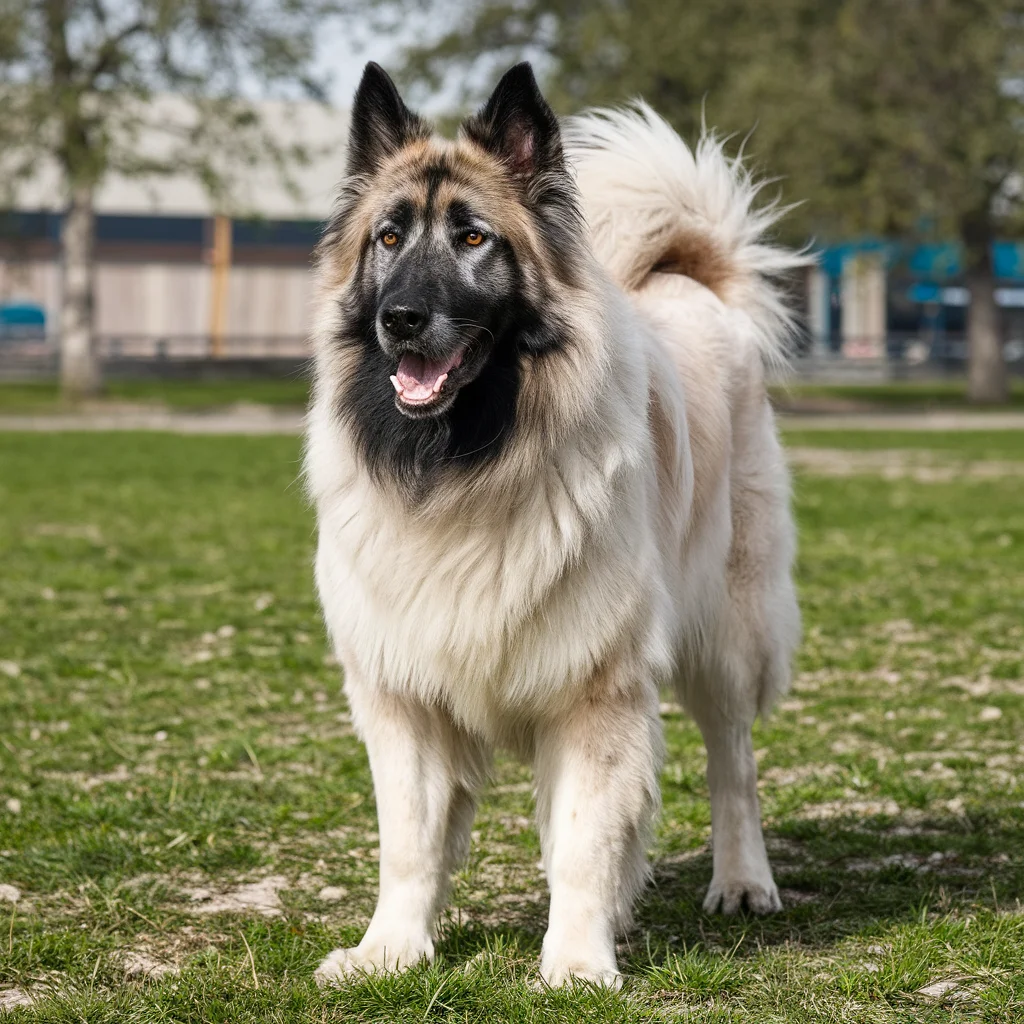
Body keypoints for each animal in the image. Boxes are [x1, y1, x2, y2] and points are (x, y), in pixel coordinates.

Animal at [303, 59, 806, 987]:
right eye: (387, 240)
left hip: (728, 628)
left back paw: (742, 881)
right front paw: (389, 949)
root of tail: (686, 282)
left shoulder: (594, 688)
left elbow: (584, 838)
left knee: (734, 762)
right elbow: (411, 842)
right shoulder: (404, 694)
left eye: (473, 239)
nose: (400, 320)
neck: (467, 466)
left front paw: (575, 962)